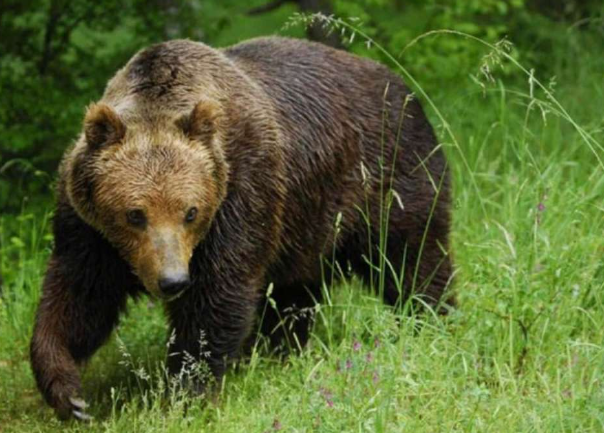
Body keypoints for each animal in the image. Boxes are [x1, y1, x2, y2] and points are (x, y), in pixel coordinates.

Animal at [29, 36, 452, 418]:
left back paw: (429, 318)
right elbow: (81, 297)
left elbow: (217, 296)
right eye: (135, 214)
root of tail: (403, 85)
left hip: (386, 176)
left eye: (190, 212)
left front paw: (186, 391)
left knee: (411, 256)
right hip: (305, 224)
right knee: (294, 293)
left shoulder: (240, 194)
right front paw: (69, 392)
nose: (172, 281)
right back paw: (282, 349)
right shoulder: (91, 231)